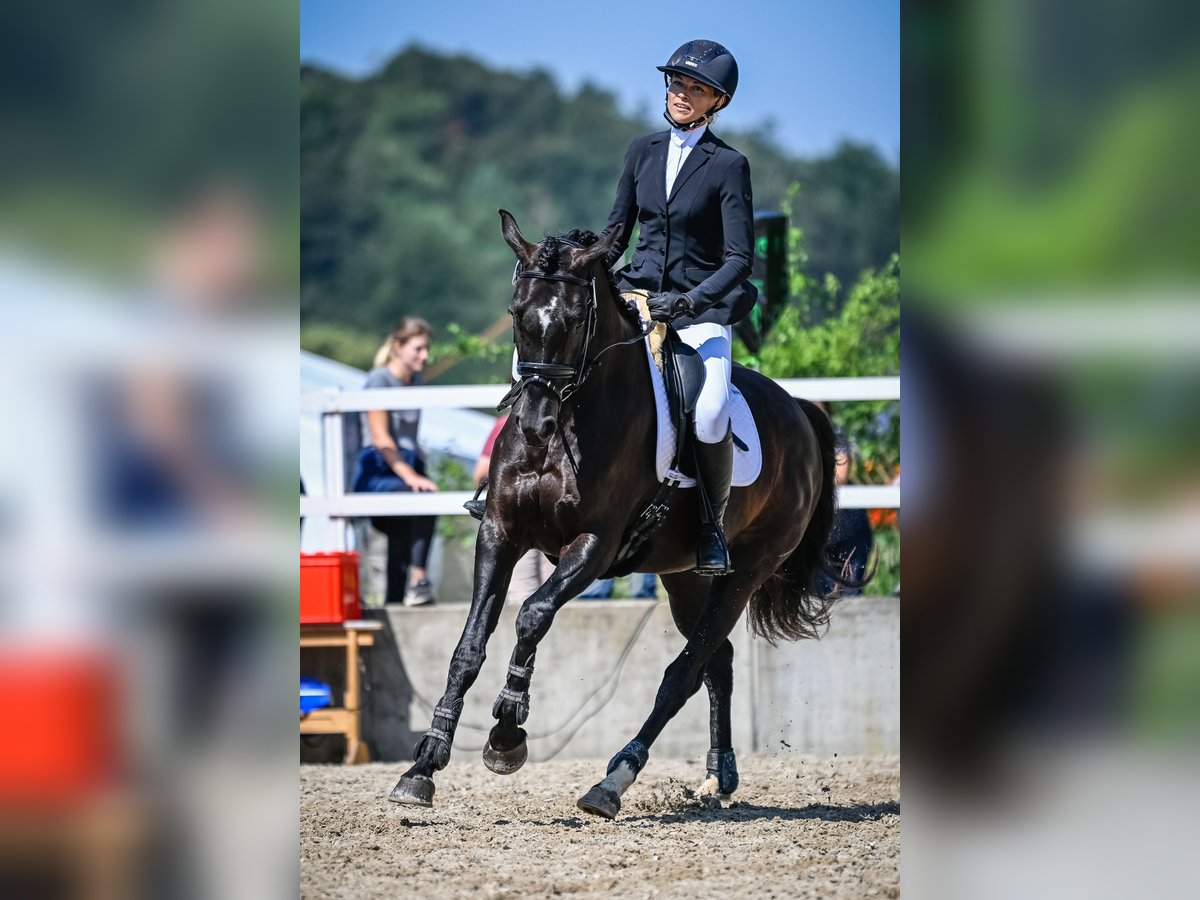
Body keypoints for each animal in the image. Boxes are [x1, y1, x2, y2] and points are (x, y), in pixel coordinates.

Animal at [388, 213, 840, 825]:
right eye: (516, 313)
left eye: (576, 320)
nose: (533, 425)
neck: (571, 422)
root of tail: (801, 412)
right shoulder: (499, 531)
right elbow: (469, 646)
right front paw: (423, 766)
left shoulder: (594, 545)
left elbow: (532, 616)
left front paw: (507, 735)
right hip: (684, 577)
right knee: (715, 661)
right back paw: (718, 775)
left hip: (746, 571)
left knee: (683, 673)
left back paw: (613, 781)